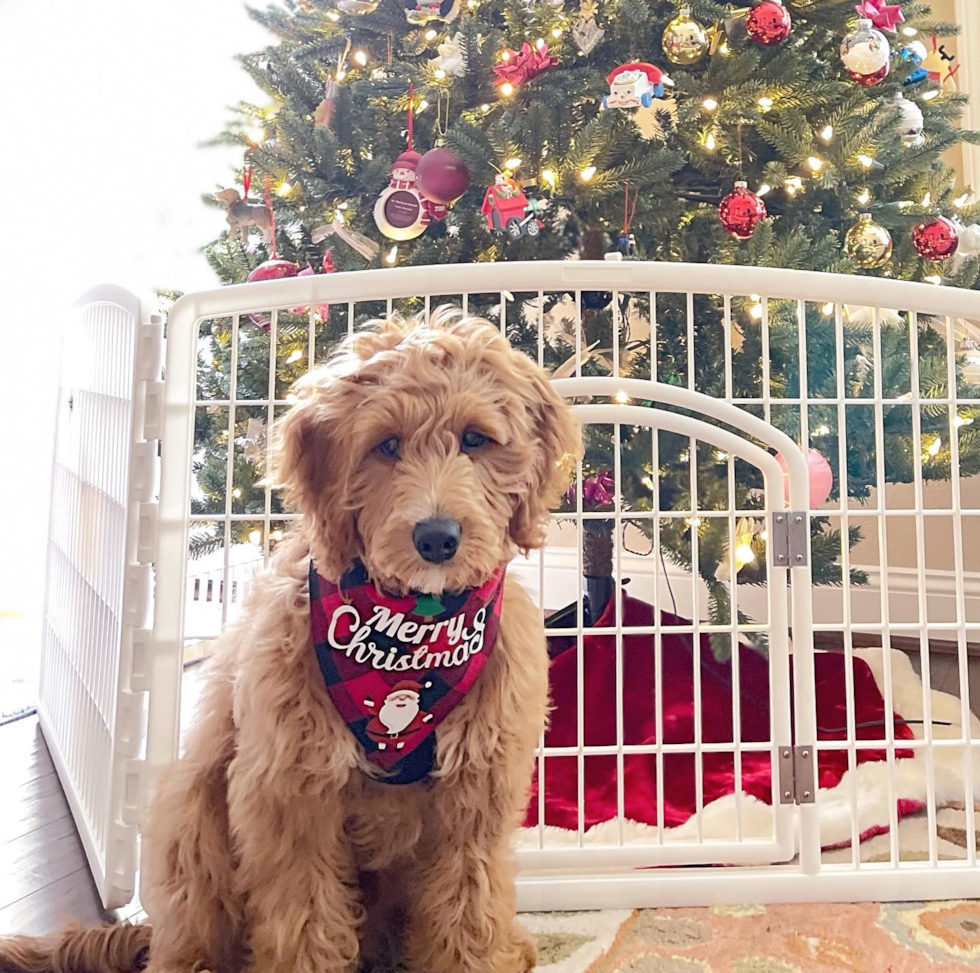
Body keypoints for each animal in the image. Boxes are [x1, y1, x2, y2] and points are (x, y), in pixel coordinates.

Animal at [0, 310, 580, 972]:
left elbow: (467, 904)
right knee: (191, 940)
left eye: (476, 439)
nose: (437, 537)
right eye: (386, 445)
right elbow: (305, 915)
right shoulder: (288, 791)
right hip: (191, 817)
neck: (411, 632)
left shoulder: (476, 792)